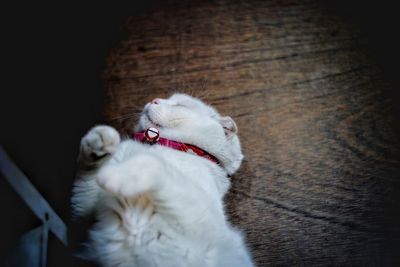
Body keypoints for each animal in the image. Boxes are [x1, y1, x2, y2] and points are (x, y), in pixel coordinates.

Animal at [71, 94, 253, 267]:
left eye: (180, 105)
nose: (154, 99)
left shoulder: (194, 224)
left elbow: (157, 165)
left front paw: (115, 175)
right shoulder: (83, 214)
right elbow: (87, 178)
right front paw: (100, 140)